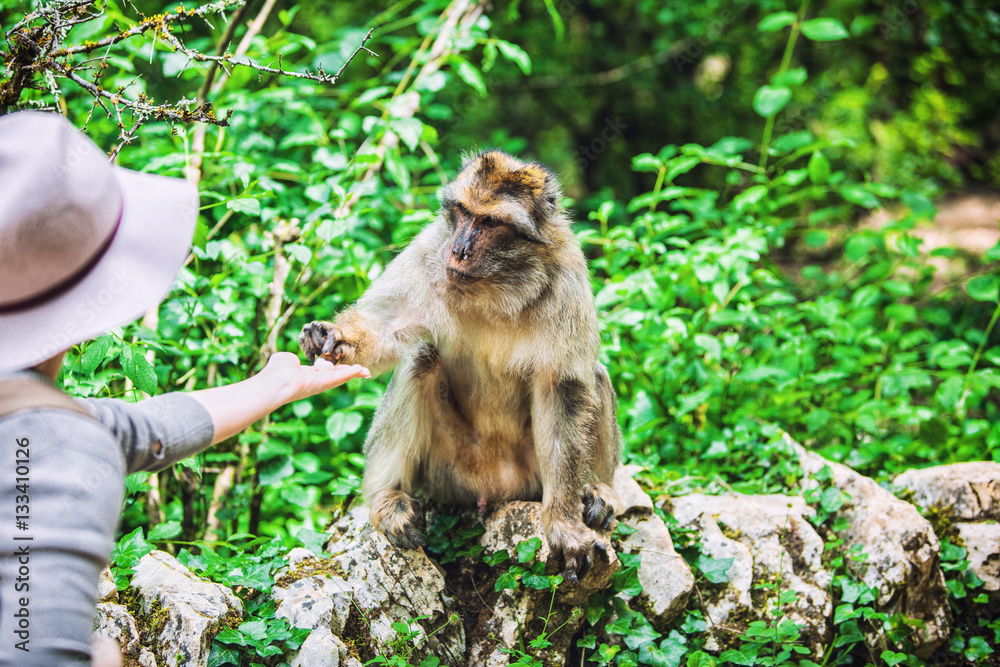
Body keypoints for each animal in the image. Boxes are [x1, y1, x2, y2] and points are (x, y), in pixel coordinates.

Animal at [300, 150, 621, 582]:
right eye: (464, 212)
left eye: (490, 222)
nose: (460, 250)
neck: (498, 286)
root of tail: (494, 492)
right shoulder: (428, 250)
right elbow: (387, 329)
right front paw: (332, 336)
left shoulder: (568, 278)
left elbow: (563, 389)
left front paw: (564, 524)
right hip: (446, 477)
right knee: (421, 359)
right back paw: (388, 497)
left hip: (528, 477)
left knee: (594, 376)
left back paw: (599, 491)